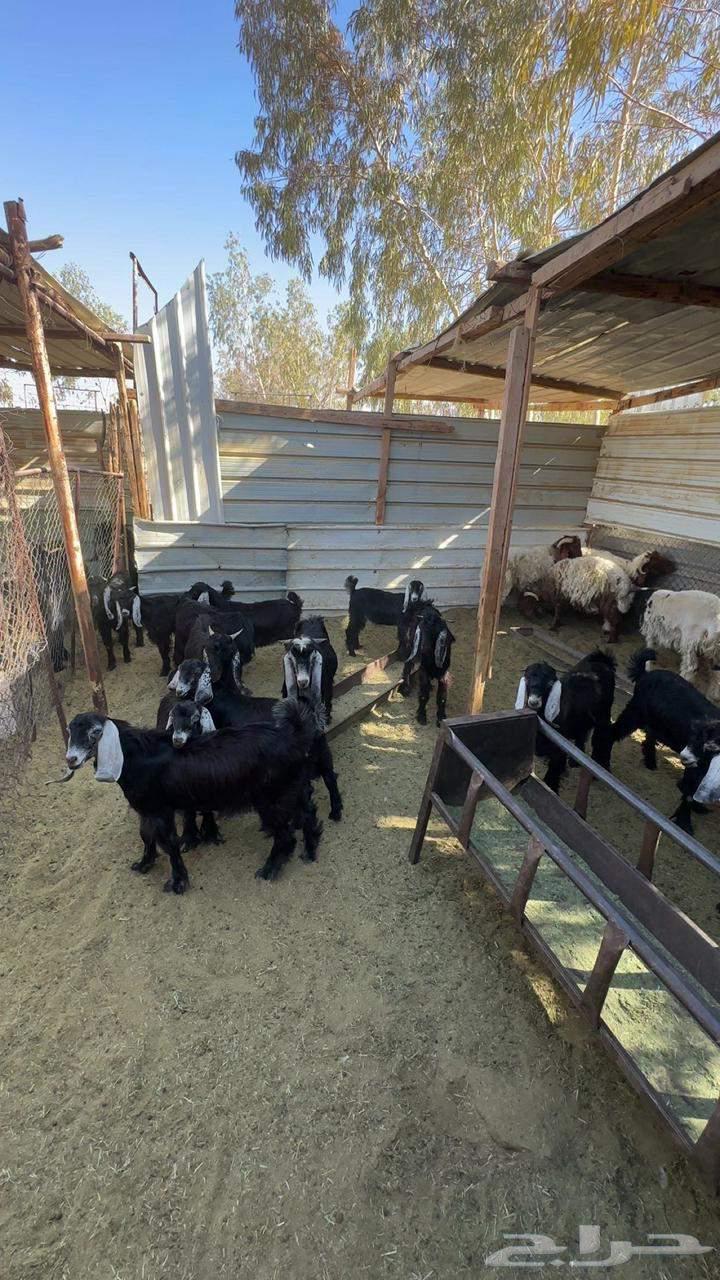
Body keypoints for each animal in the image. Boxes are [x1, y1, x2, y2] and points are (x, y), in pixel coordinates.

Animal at [64, 700, 324, 892]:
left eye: (95, 732)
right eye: (70, 731)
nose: (71, 759)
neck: (137, 756)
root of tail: (293, 736)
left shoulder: (160, 810)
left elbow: (169, 843)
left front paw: (177, 883)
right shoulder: (147, 809)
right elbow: (146, 837)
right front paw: (143, 864)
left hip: (272, 799)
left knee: (285, 835)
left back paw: (269, 870)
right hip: (292, 788)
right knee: (308, 813)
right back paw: (310, 851)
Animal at [515, 649, 616, 792]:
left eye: (550, 684)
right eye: (527, 679)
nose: (534, 701)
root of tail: (603, 660)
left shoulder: (559, 745)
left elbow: (553, 771)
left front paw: (552, 788)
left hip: (604, 712)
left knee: (604, 735)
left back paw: (602, 766)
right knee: (583, 732)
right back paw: (574, 761)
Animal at [612, 648, 718, 834]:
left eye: (711, 744)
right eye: (696, 737)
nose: (685, 757)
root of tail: (645, 674)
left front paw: (698, 807)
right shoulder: (696, 767)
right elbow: (689, 792)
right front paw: (684, 823)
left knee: (649, 737)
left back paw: (650, 762)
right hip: (635, 711)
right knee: (613, 731)